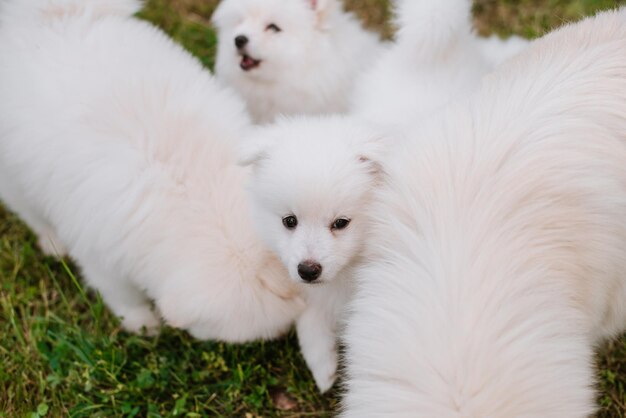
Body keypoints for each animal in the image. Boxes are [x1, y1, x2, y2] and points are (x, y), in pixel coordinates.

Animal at [0, 0, 302, 342]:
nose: (284, 337)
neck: (193, 194)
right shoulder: (101, 255)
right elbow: (121, 295)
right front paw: (142, 323)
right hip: (15, 175)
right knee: (28, 209)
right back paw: (52, 242)